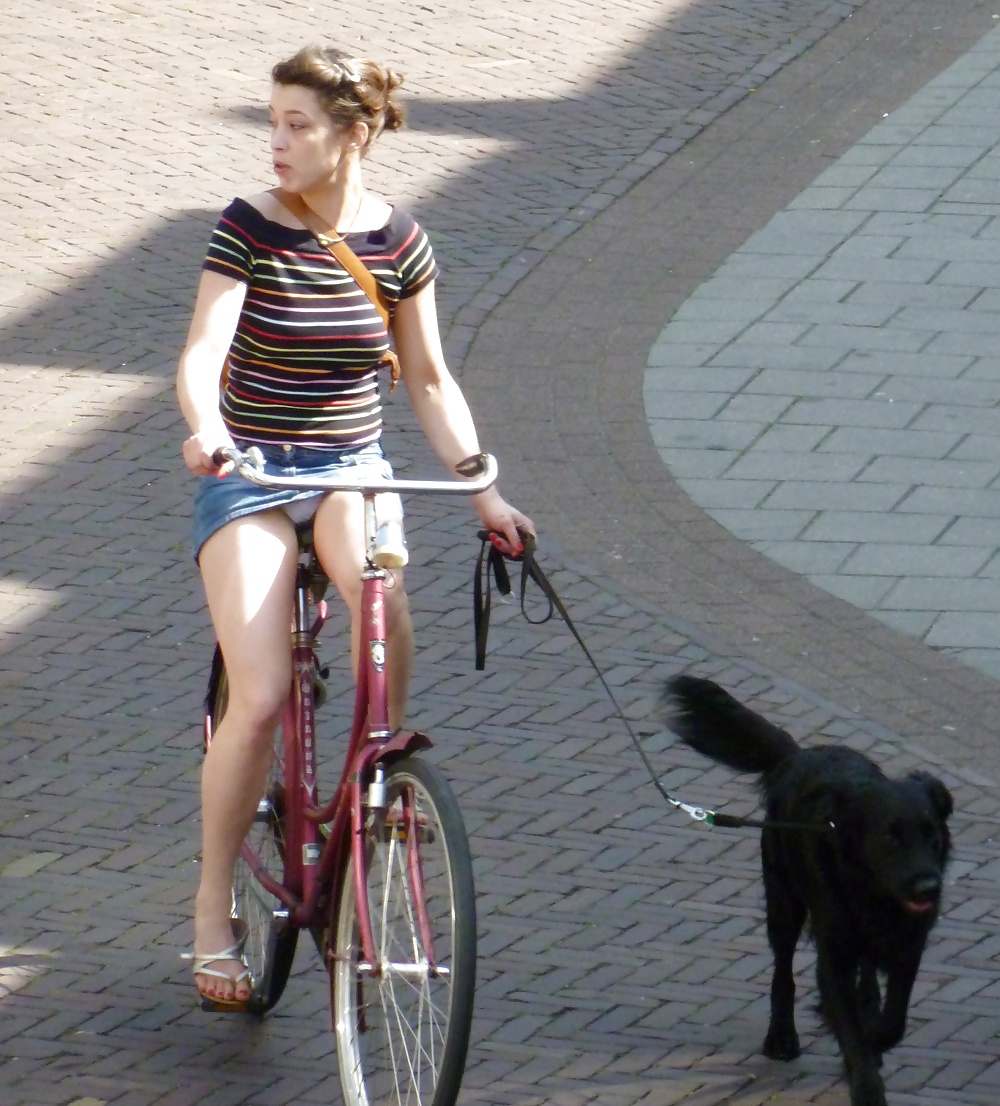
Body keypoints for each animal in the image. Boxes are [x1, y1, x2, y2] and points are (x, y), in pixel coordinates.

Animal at [663, 672, 951, 1106]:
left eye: (932, 834)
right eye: (890, 837)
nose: (929, 888)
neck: (874, 893)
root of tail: (796, 757)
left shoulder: (907, 946)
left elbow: (893, 1022)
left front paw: (873, 1035)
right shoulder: (833, 953)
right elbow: (849, 1029)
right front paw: (866, 1084)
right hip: (782, 903)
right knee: (783, 972)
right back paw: (781, 1037)